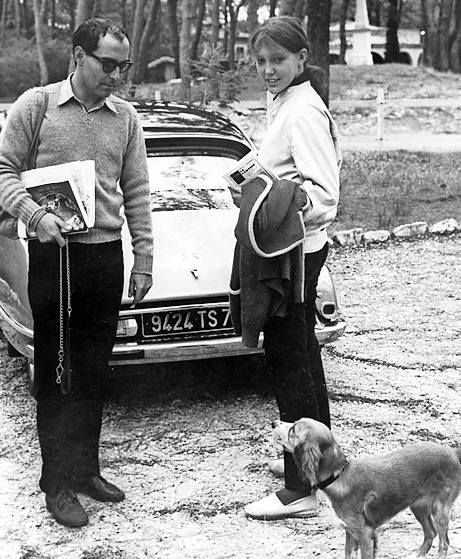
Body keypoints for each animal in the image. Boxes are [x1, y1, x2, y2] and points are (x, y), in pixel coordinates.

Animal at [272, 418, 461, 559]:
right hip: (418, 506)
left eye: (293, 430)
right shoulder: (350, 532)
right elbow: (348, 555)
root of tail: (453, 451)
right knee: (431, 533)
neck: (339, 476)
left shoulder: (366, 535)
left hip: (440, 508)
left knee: (443, 542)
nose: (273, 423)